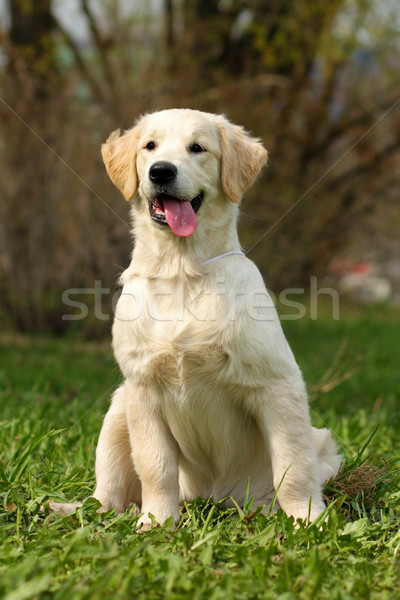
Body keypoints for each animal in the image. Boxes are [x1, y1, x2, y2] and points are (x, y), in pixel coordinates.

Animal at [52, 110, 340, 528]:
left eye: (198, 148)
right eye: (150, 146)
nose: (161, 171)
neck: (181, 270)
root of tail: (213, 499)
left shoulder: (276, 384)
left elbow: (293, 464)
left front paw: (308, 520)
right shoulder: (143, 389)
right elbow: (155, 466)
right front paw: (157, 522)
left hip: (322, 444)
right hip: (119, 407)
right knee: (107, 498)